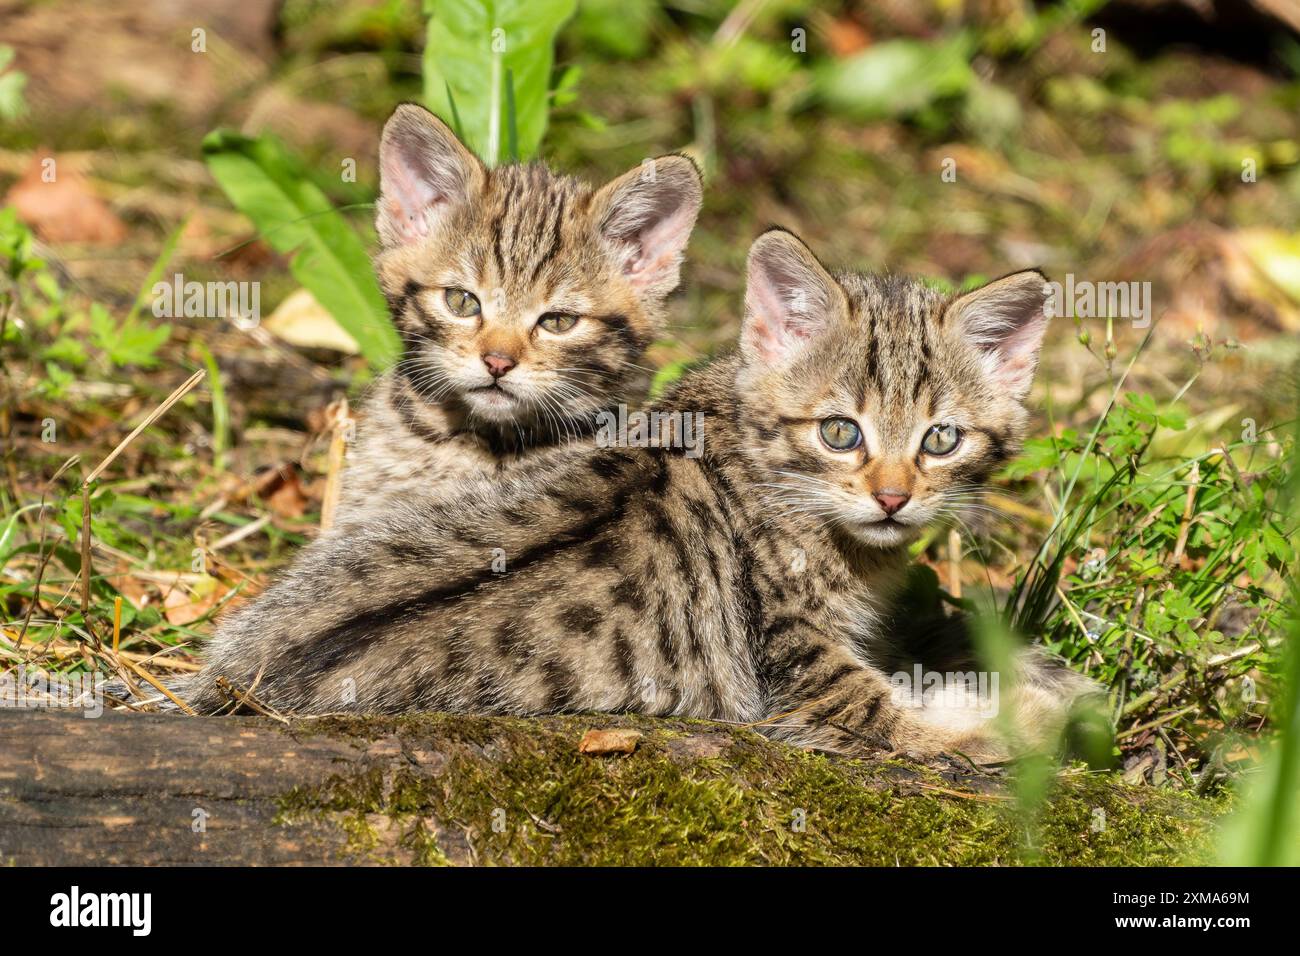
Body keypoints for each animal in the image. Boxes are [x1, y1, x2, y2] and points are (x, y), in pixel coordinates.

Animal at [183, 227, 1097, 759]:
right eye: (841, 433)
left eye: (941, 439)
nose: (893, 500)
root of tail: (238, 685)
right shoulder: (798, 684)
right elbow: (915, 720)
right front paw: (1043, 713)